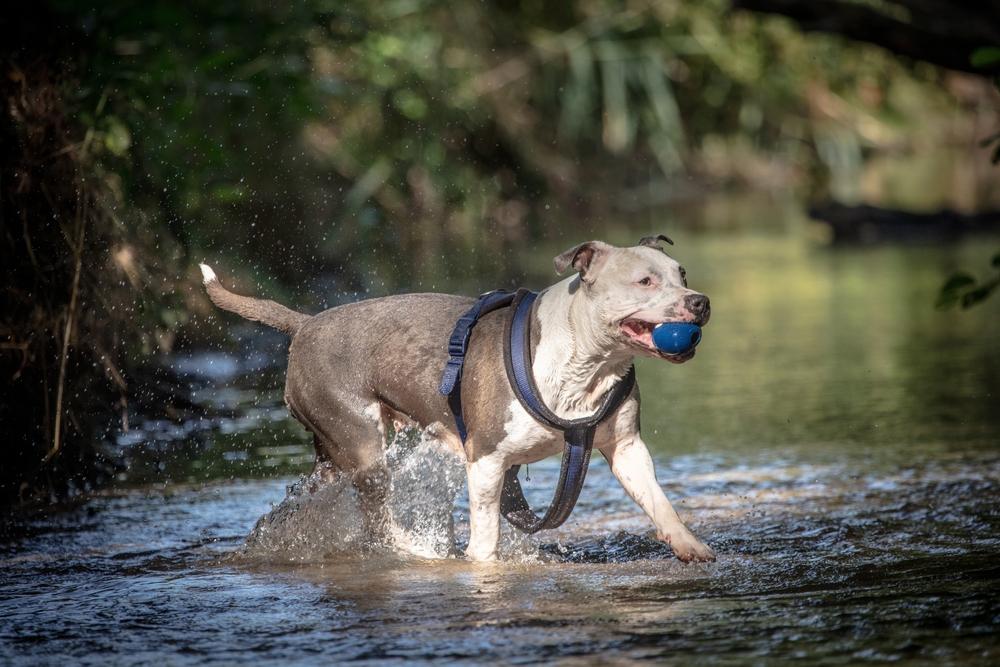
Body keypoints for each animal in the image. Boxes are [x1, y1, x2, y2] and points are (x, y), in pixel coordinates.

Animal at [199, 240, 716, 564]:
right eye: (645, 281)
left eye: (681, 274)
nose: (700, 301)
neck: (586, 363)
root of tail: (304, 324)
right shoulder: (486, 459)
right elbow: (486, 534)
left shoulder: (627, 448)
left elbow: (657, 500)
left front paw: (689, 545)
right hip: (362, 445)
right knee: (376, 513)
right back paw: (411, 551)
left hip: (331, 450)